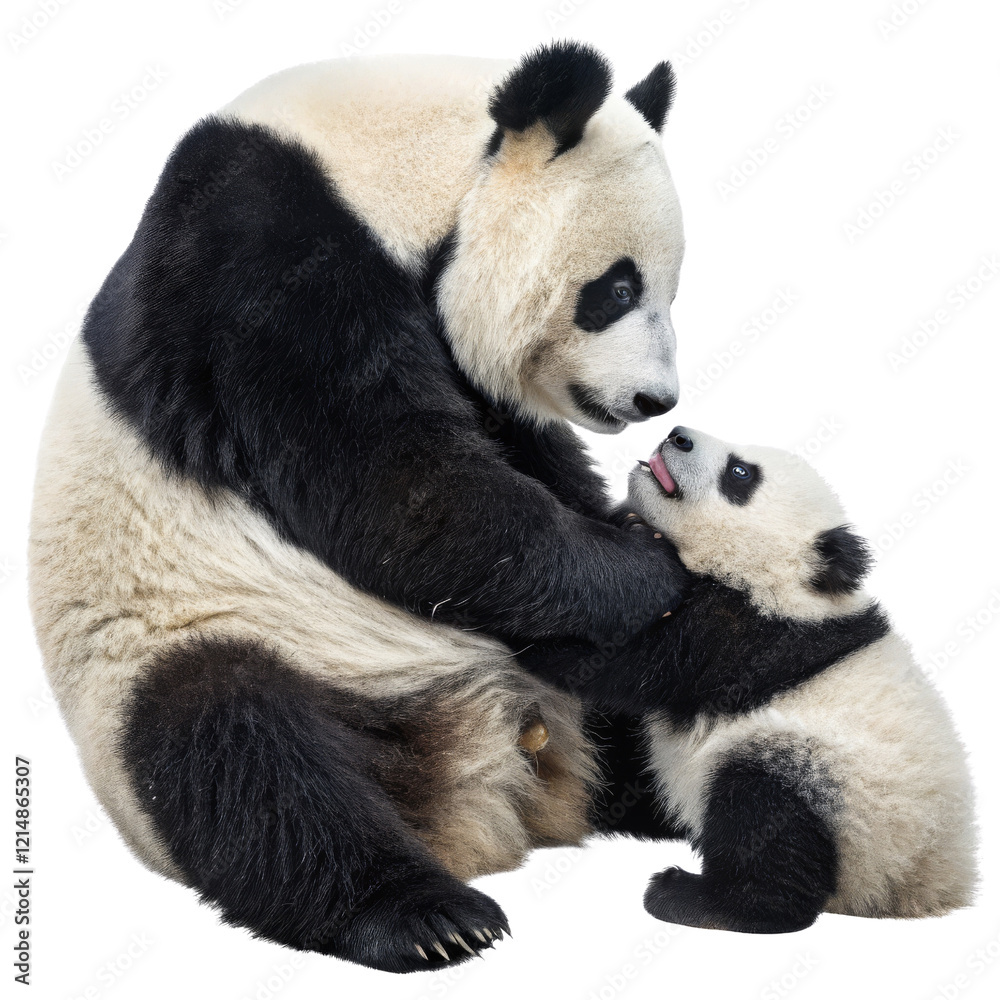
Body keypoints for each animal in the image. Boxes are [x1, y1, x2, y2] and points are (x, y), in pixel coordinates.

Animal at [621, 427, 978, 932]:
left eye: (740, 473)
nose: (678, 435)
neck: (788, 585)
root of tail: (929, 884)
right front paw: (634, 528)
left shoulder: (743, 640)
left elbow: (625, 663)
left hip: (846, 798)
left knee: (763, 808)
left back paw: (694, 898)